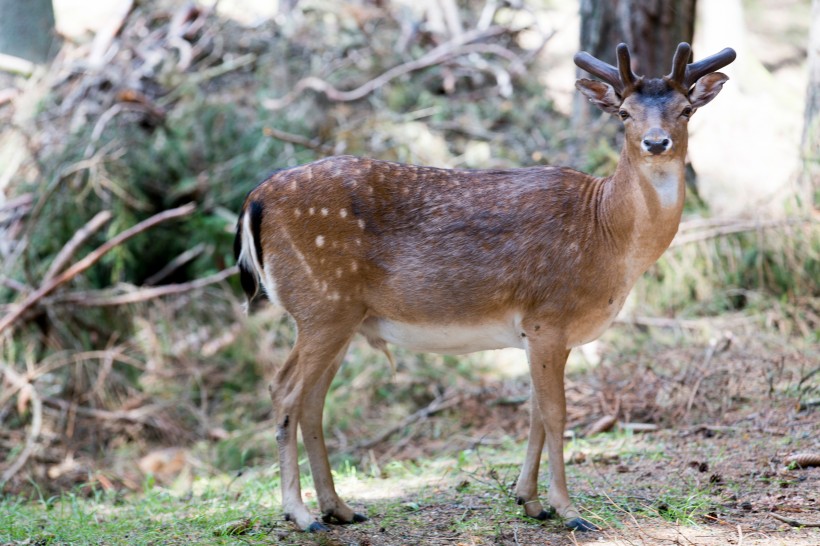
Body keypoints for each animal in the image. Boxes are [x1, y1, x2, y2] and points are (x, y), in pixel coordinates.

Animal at [232, 43, 736, 532]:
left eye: (686, 109)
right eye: (625, 113)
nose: (656, 142)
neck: (606, 233)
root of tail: (254, 200)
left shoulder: (540, 333)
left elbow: (534, 412)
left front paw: (530, 501)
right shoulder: (547, 317)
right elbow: (556, 413)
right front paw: (569, 510)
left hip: (341, 317)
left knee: (313, 400)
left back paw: (339, 508)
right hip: (321, 304)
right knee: (284, 391)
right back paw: (300, 515)